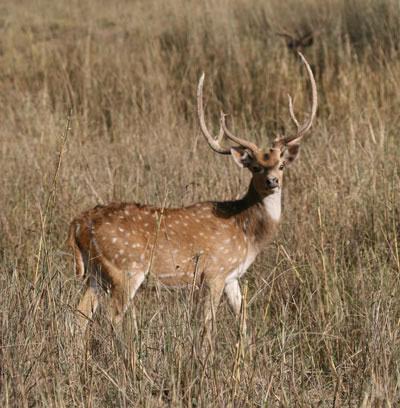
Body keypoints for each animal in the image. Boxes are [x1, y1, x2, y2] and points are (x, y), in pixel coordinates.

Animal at [70, 52, 318, 336]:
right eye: (255, 166)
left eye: (281, 164)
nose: (272, 181)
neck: (245, 230)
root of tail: (77, 225)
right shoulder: (214, 272)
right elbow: (207, 326)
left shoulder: (232, 277)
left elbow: (243, 321)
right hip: (125, 268)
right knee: (112, 320)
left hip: (95, 273)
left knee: (78, 318)